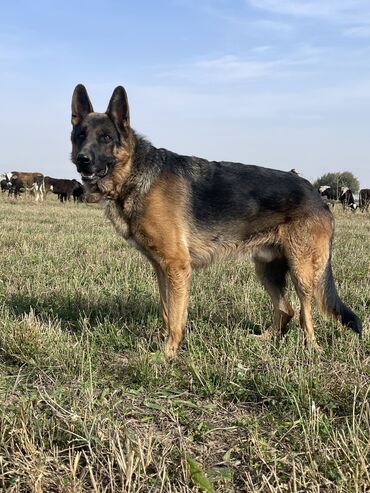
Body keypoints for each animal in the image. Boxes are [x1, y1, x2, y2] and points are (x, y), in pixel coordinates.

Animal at [70, 83, 362, 354]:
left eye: (106, 137)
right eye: (80, 136)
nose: (82, 160)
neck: (135, 173)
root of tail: (315, 193)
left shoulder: (177, 266)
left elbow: (175, 316)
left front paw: (167, 354)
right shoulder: (162, 268)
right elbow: (167, 311)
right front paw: (167, 344)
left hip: (302, 270)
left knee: (305, 311)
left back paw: (311, 347)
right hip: (266, 268)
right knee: (286, 310)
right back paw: (263, 339)